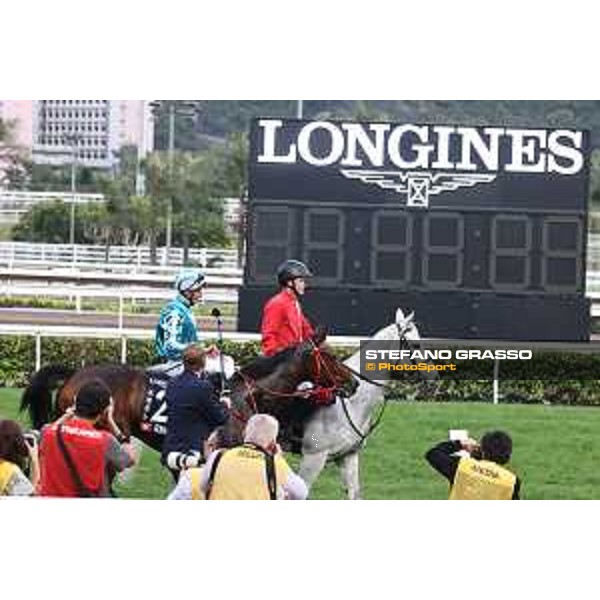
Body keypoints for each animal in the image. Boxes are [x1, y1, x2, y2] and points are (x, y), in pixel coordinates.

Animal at [298, 308, 424, 500]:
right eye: (416, 345)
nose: (433, 375)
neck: (350, 402)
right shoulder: (313, 457)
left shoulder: (348, 455)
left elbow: (354, 493)